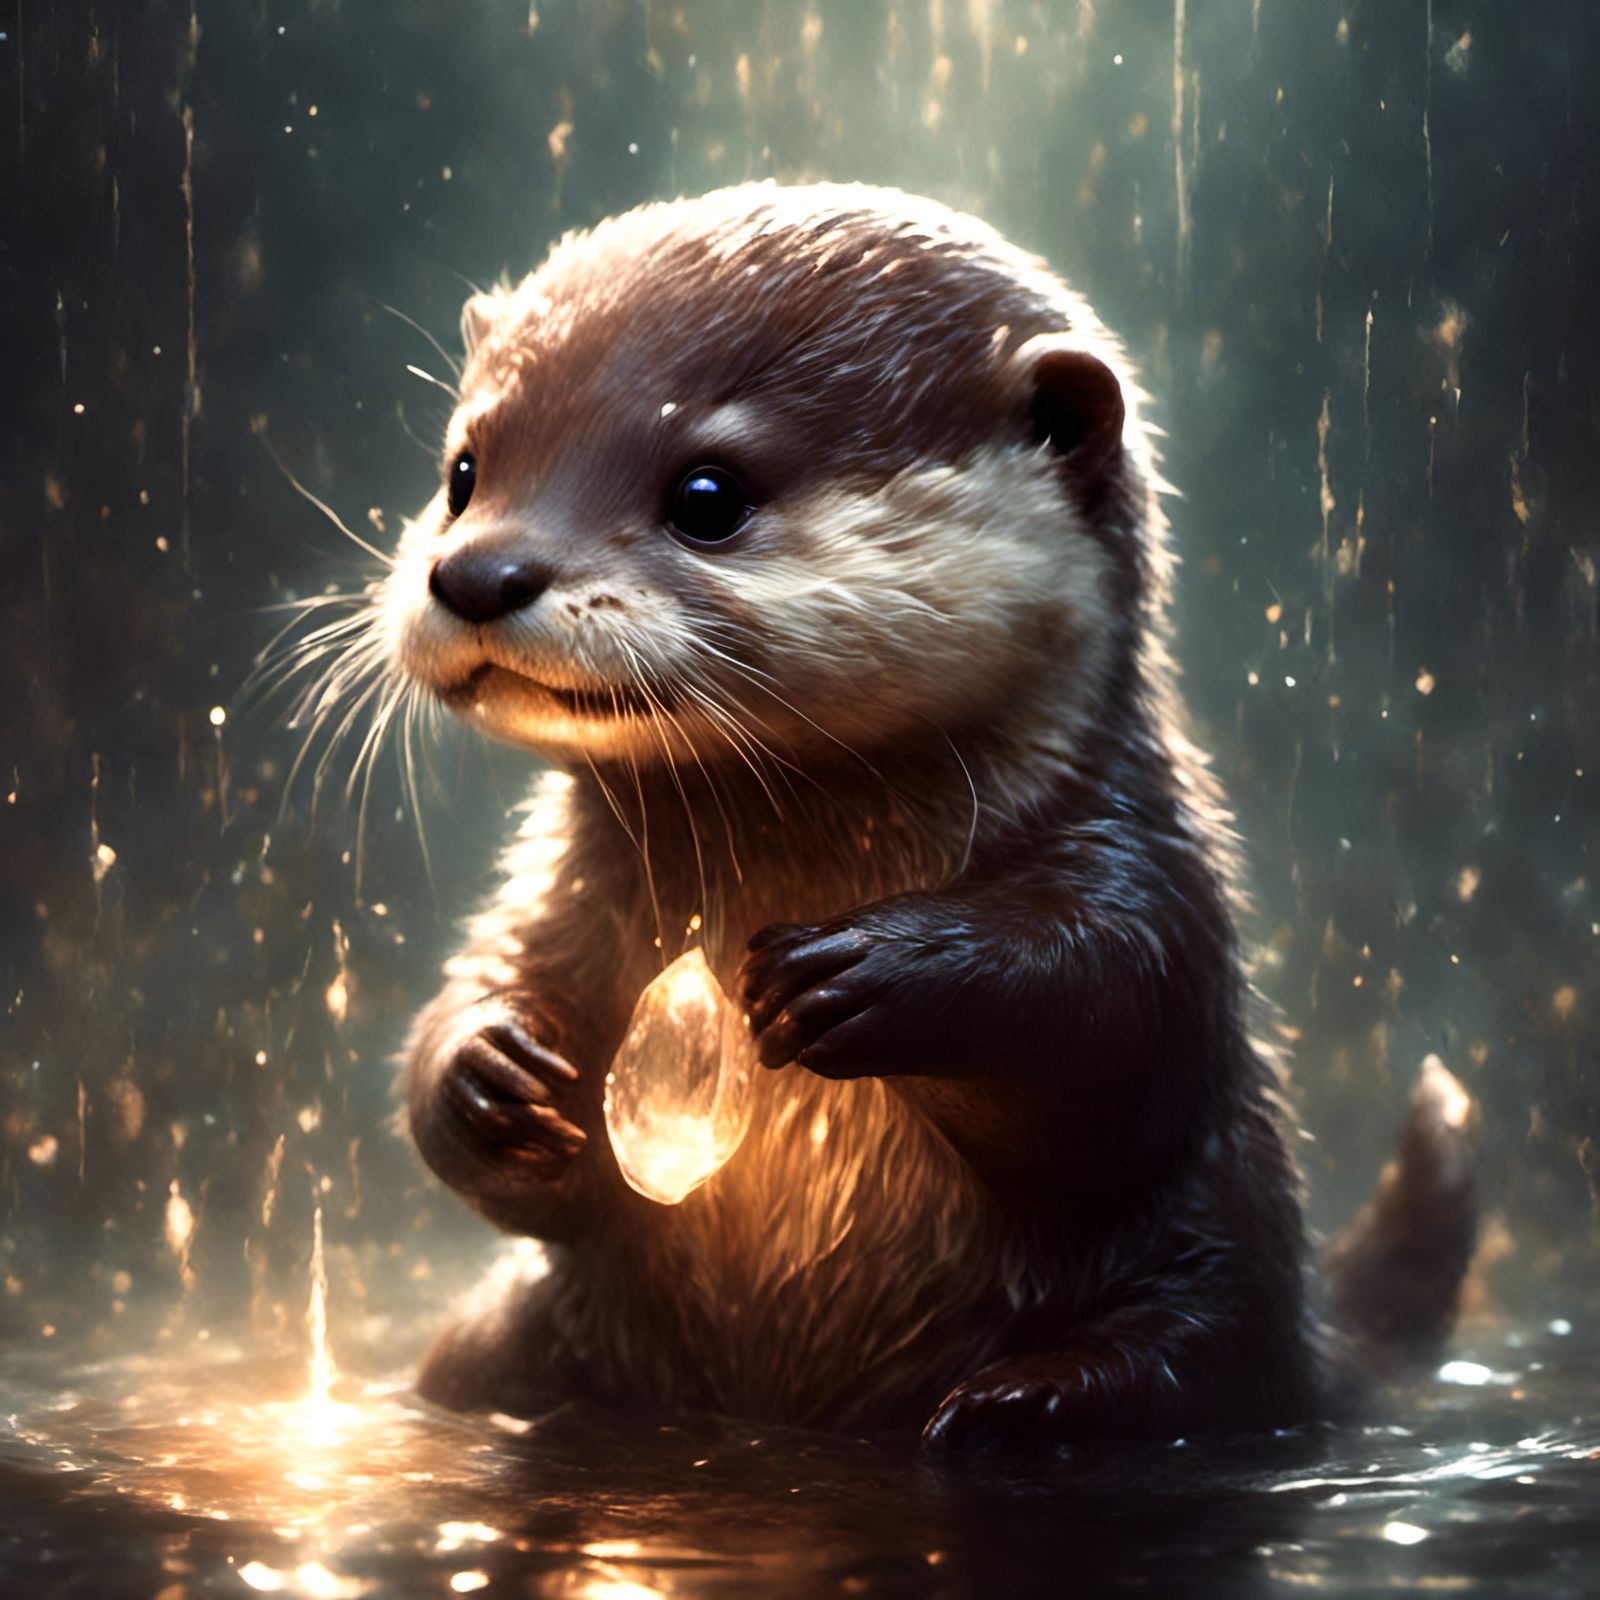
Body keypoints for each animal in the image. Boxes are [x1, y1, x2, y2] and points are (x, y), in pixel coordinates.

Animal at [373, 183, 1476, 1449]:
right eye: (464, 468)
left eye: (708, 493)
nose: (478, 571)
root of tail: (1319, 1343)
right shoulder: (558, 904)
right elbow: (489, 1006)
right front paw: (483, 1071)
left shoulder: (1141, 860)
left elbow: (1117, 1032)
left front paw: (871, 970)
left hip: (1218, 1278)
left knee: (1190, 1360)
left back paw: (1024, 1396)